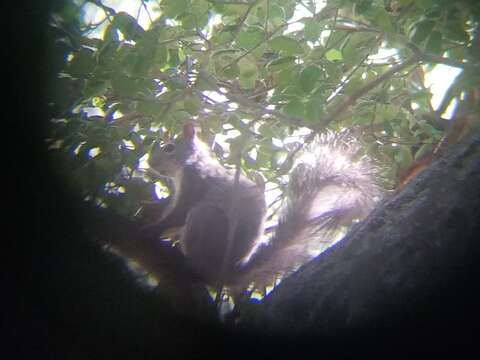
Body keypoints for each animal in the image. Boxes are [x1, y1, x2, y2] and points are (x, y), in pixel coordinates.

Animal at [146, 122, 382, 292]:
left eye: (169, 148)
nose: (150, 163)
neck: (189, 163)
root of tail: (227, 273)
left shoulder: (195, 184)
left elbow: (178, 215)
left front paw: (153, 228)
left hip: (207, 219)